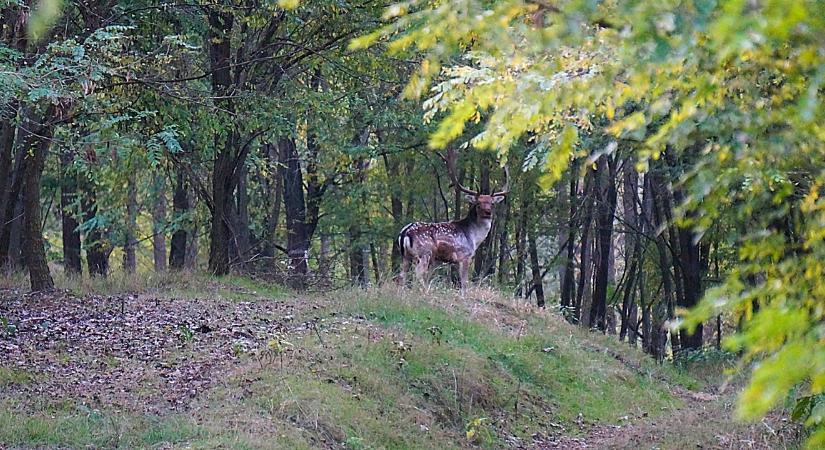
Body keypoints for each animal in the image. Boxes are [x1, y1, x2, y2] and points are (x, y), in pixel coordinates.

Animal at [396, 151, 506, 292]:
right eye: (478, 204)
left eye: (492, 203)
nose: (488, 212)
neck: (474, 238)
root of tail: (404, 233)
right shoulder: (464, 256)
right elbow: (464, 283)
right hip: (424, 253)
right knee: (418, 274)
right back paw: (426, 292)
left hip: (405, 256)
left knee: (401, 276)